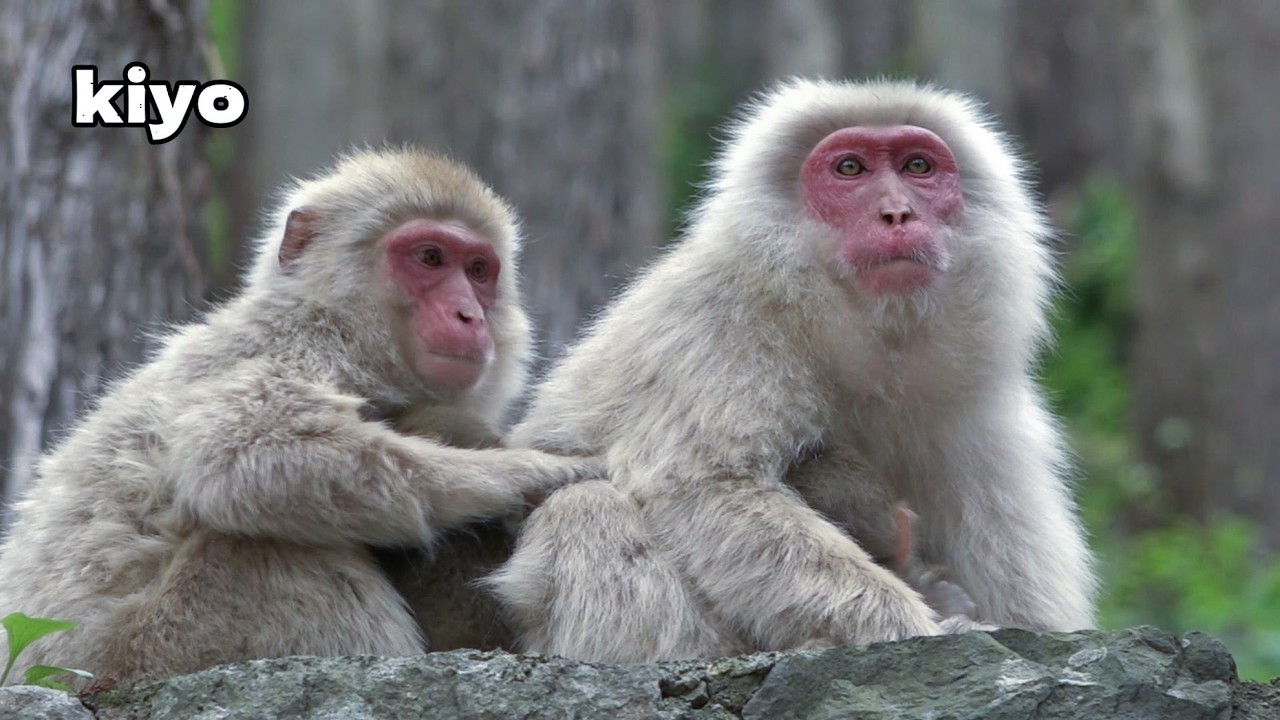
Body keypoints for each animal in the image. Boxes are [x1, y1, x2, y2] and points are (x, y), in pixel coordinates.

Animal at [0, 148, 602, 685]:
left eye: (478, 270)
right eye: (430, 258)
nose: (469, 314)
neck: (337, 320)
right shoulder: (301, 347)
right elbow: (240, 448)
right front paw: (533, 471)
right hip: (152, 653)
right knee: (266, 540)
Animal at [489, 78, 1096, 663]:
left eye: (918, 167)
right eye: (850, 169)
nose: (897, 213)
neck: (853, 331)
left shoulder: (980, 410)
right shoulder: (719, 322)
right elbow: (704, 487)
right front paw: (910, 628)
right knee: (585, 508)